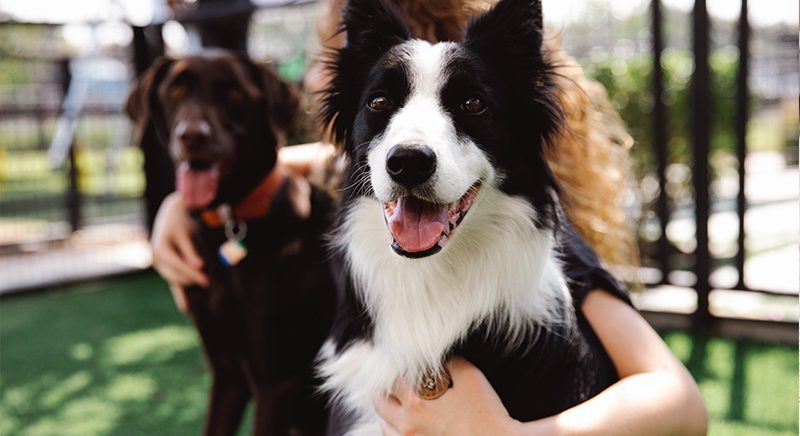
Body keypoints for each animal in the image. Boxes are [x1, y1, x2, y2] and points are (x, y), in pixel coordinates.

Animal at [124, 49, 334, 434]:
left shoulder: (277, 380)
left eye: (235, 94)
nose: (193, 136)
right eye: (175, 90)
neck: (229, 220)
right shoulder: (226, 373)